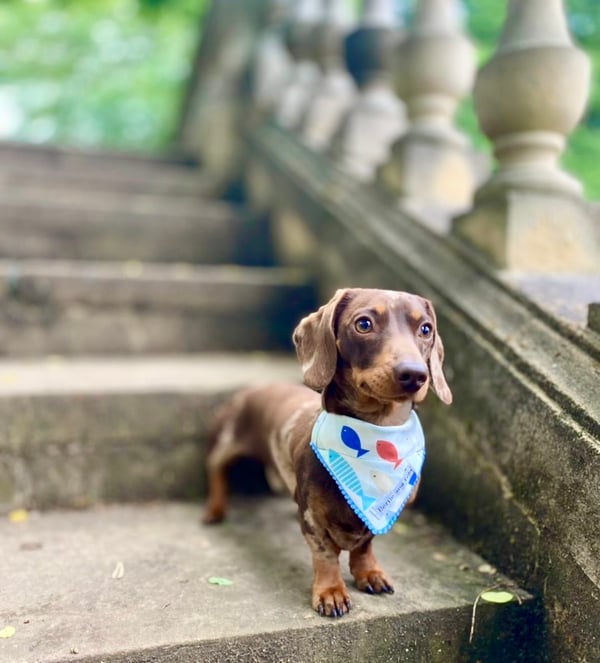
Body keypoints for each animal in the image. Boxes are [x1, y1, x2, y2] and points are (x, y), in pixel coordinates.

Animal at [204, 288, 452, 620]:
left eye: (426, 329)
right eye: (364, 323)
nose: (414, 375)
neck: (374, 433)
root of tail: (250, 389)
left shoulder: (377, 517)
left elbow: (364, 545)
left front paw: (369, 572)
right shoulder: (312, 519)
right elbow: (325, 555)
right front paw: (331, 591)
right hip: (228, 442)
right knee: (216, 468)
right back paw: (215, 509)